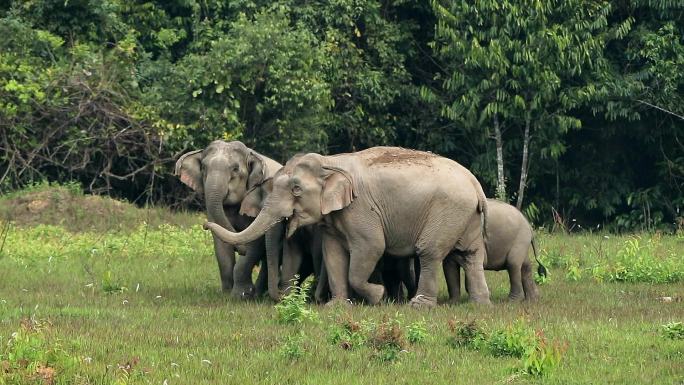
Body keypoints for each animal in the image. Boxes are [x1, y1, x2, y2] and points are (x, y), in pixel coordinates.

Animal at [178, 140, 284, 296]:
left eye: (235, 169)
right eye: (203, 167)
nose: (204, 225)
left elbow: (255, 241)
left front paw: (241, 294)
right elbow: (221, 242)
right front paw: (227, 294)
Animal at [203, 146, 492, 306]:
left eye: (296, 189)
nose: (205, 224)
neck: (331, 162)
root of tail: (475, 183)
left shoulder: (360, 209)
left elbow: (371, 248)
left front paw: (377, 296)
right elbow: (333, 254)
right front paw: (338, 307)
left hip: (448, 211)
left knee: (429, 252)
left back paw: (419, 306)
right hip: (466, 216)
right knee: (471, 255)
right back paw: (480, 304)